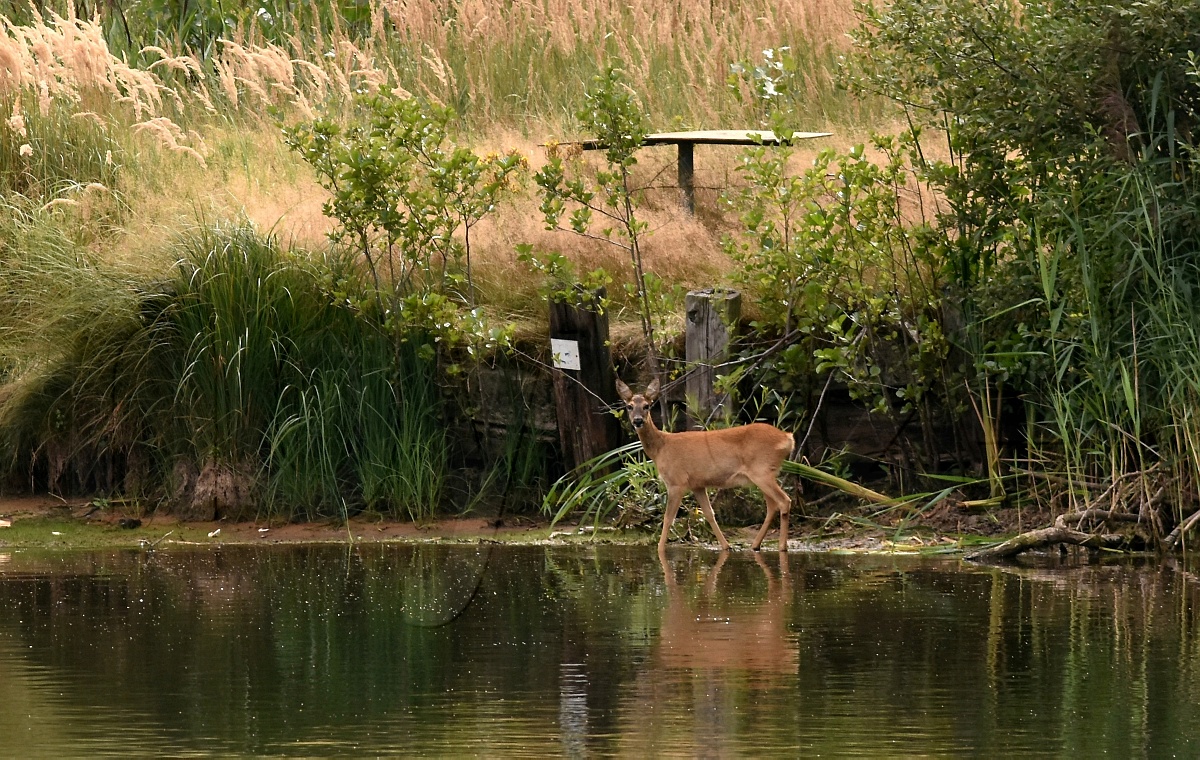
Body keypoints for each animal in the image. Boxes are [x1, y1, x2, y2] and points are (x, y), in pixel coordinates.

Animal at [619, 376, 796, 552]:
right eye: (629, 406)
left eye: (646, 406)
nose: (638, 421)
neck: (661, 447)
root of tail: (788, 438)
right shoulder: (697, 484)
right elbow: (709, 514)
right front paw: (726, 546)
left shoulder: (676, 481)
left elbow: (668, 517)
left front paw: (660, 549)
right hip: (763, 474)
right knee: (772, 506)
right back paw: (755, 545)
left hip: (761, 471)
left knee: (784, 501)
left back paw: (782, 546)